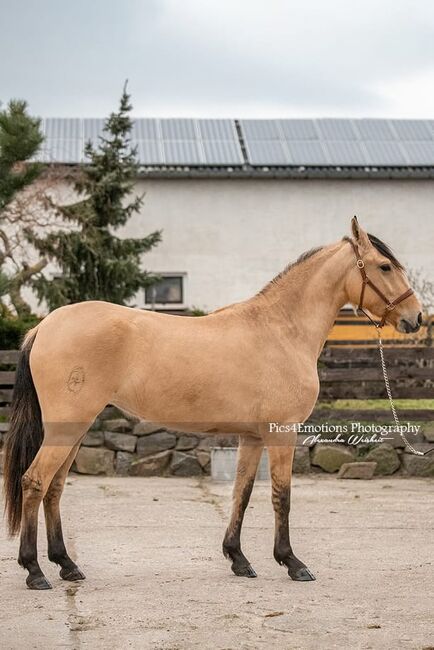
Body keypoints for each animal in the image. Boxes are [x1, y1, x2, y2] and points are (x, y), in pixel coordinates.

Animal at [2, 216, 420, 588]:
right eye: (384, 266)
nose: (415, 319)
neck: (281, 330)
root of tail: (45, 325)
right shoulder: (282, 433)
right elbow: (281, 496)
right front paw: (291, 562)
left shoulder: (252, 437)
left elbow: (243, 493)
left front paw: (238, 559)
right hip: (67, 427)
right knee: (35, 482)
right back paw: (35, 571)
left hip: (73, 429)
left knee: (54, 487)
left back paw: (66, 565)